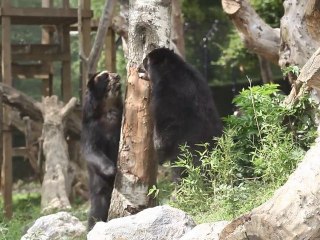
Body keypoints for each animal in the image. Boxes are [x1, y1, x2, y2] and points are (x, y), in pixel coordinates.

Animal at [81, 70, 122, 230]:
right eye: (105, 76)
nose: (117, 75)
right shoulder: (91, 127)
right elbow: (91, 150)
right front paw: (113, 170)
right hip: (98, 186)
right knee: (97, 209)